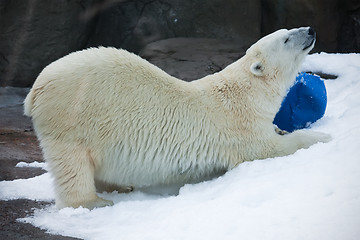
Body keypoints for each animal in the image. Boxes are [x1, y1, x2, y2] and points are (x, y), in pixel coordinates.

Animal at [23, 26, 330, 208]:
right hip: (71, 115)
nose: (310, 30)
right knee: (72, 166)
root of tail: (36, 89)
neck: (247, 94)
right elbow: (268, 149)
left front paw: (282, 129)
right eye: (286, 38)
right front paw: (322, 136)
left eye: (288, 30)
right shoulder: (240, 128)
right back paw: (93, 201)